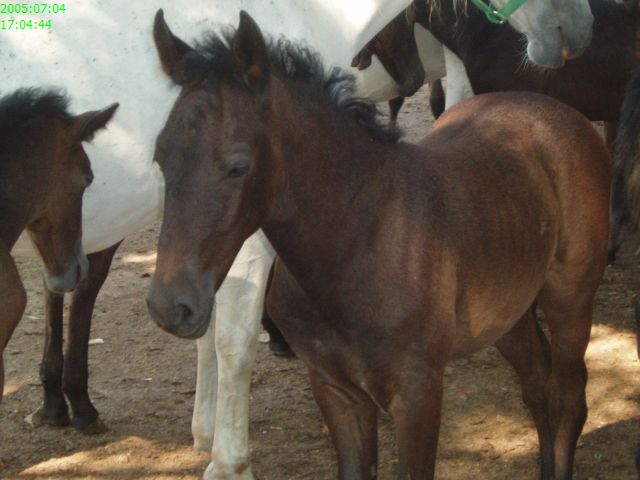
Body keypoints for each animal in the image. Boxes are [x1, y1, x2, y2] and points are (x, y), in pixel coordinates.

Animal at [147, 10, 610, 480]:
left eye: (237, 166)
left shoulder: (418, 391)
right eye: (159, 157)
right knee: (536, 384)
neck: (358, 240)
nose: (170, 306)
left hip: (570, 296)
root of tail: (559, 112)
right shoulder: (335, 389)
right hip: (506, 311)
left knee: (567, 399)